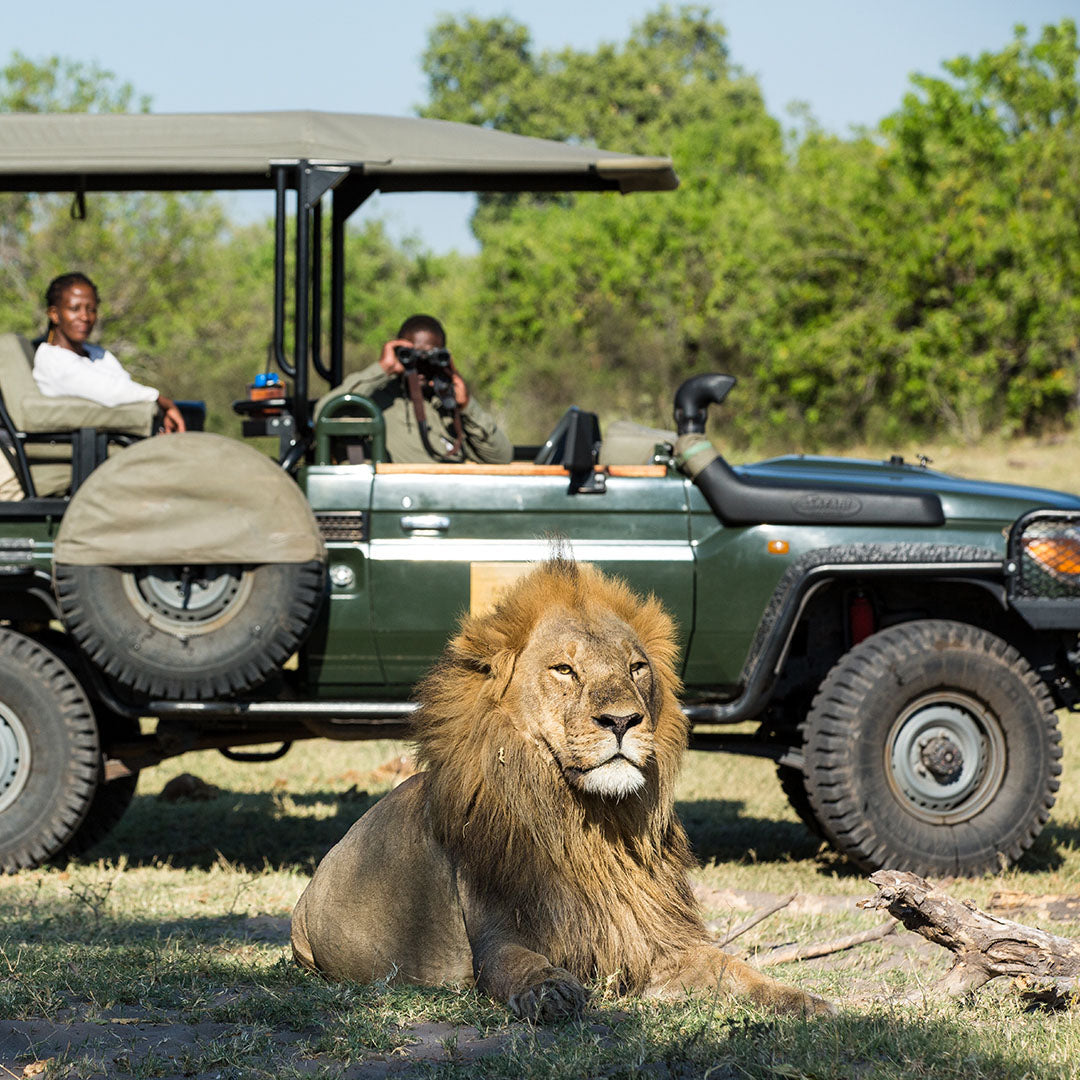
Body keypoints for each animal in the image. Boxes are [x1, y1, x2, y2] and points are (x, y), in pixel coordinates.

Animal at [291, 557, 829, 1019]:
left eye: (636, 668)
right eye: (565, 670)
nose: (622, 721)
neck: (592, 823)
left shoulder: (650, 939)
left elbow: (731, 967)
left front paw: (801, 1001)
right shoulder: (497, 936)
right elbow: (521, 963)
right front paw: (551, 990)